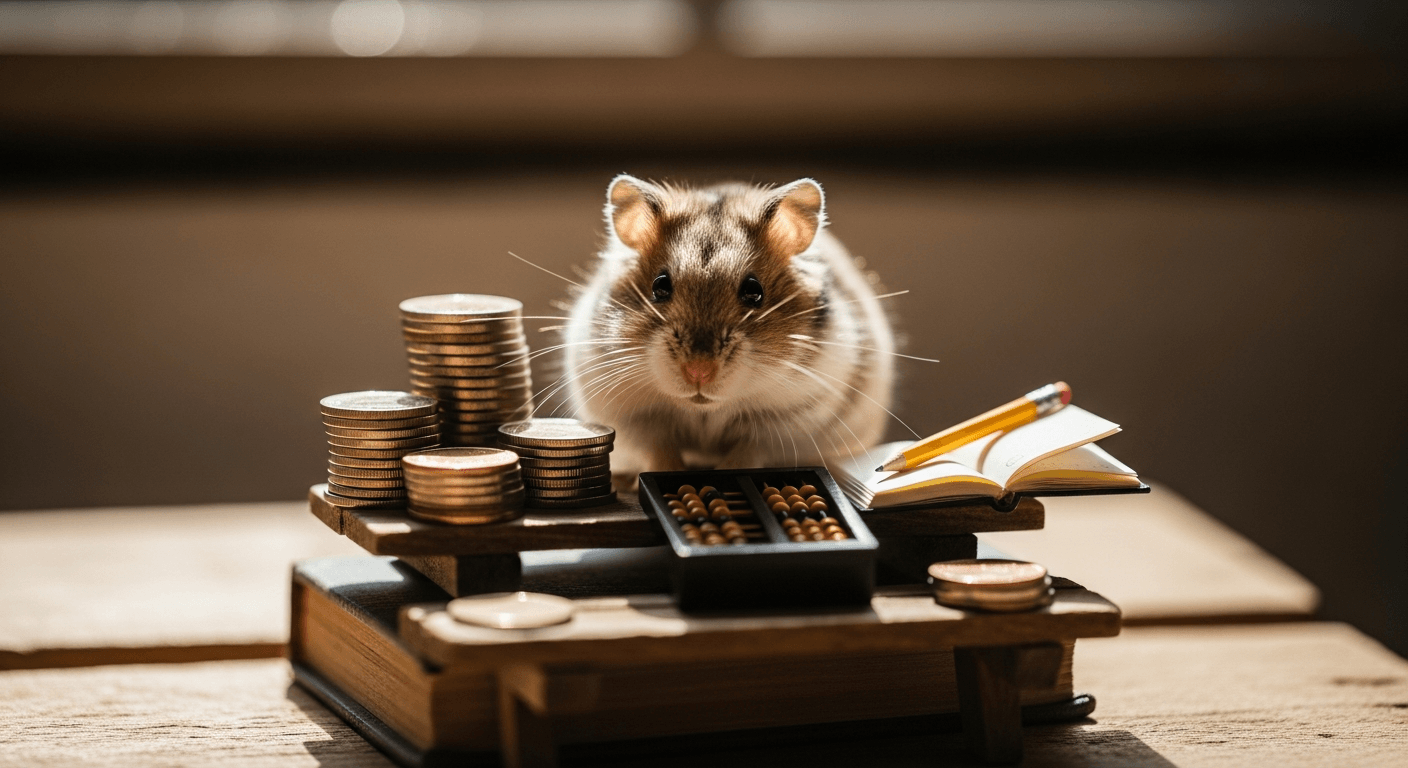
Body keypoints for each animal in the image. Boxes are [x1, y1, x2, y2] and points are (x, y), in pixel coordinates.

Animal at [564, 175, 896, 476]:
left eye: (754, 291)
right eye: (660, 286)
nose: (699, 372)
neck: (704, 408)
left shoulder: (786, 421)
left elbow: (748, 451)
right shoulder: (635, 417)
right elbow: (660, 451)